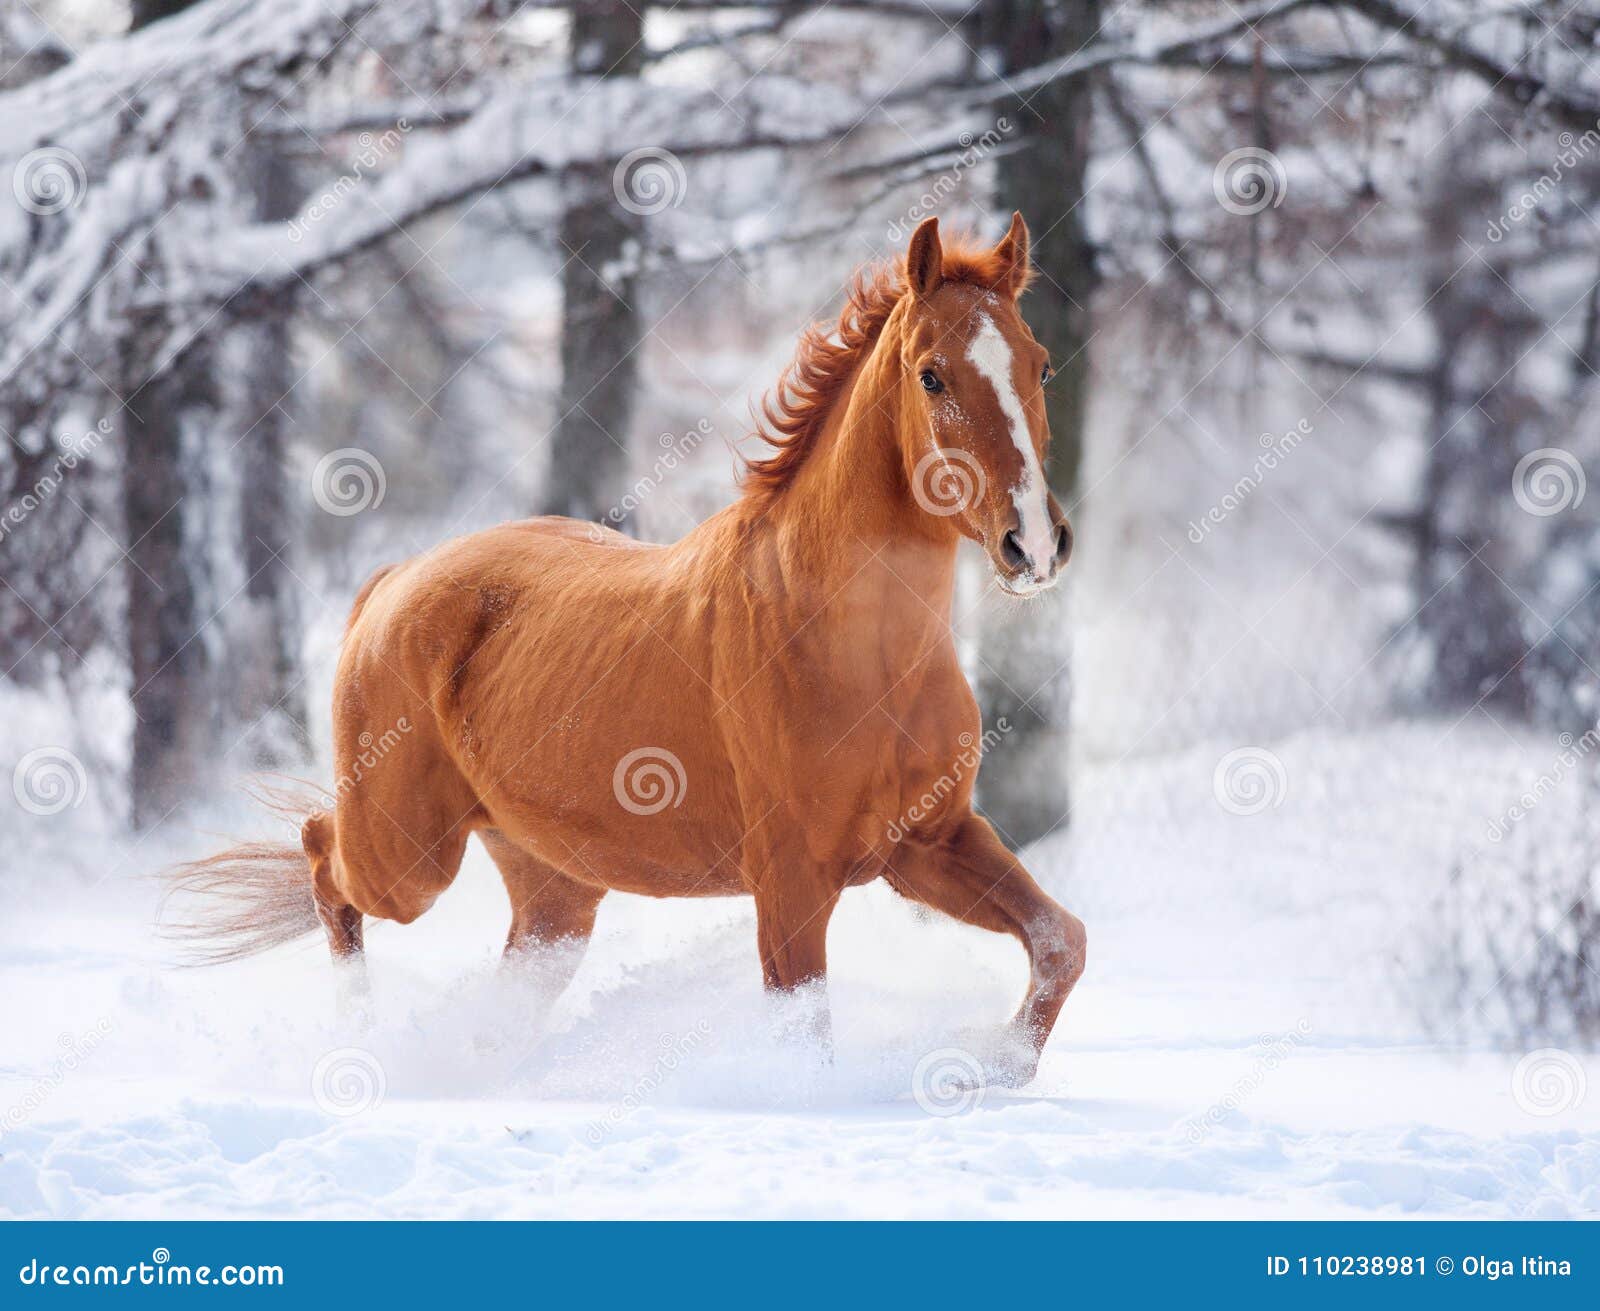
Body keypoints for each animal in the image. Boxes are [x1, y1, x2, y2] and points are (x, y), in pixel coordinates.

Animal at [172, 212, 1088, 1075]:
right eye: (932, 373)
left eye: (1040, 364)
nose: (1035, 545)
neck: (857, 653)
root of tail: (393, 581)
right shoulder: (792, 883)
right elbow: (807, 1033)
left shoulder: (931, 843)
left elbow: (1061, 941)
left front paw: (995, 1068)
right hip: (407, 859)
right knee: (322, 859)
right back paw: (361, 1039)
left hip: (553, 889)